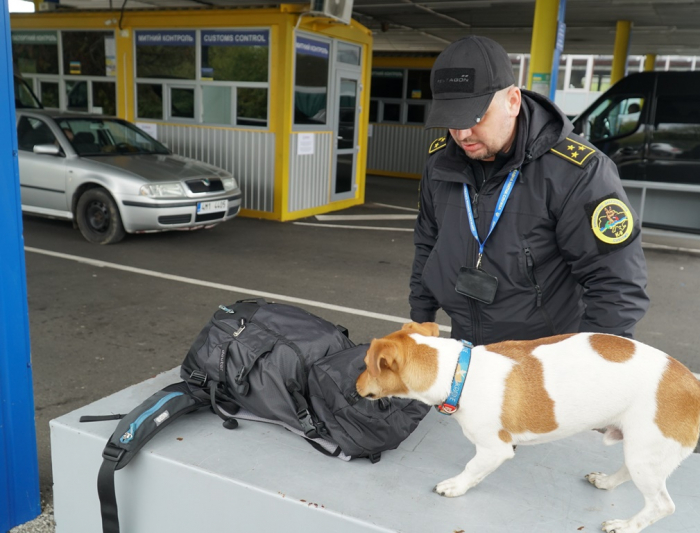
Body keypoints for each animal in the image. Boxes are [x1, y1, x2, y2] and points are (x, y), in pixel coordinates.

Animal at [356, 320, 700, 532]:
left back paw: (626, 525)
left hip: (647, 454)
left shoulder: (495, 450)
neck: (458, 372)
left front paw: (455, 486)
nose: (354, 386)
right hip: (641, 450)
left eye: (366, 365)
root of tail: (694, 385)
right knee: (628, 472)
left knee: (662, 506)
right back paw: (605, 483)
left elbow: (472, 468)